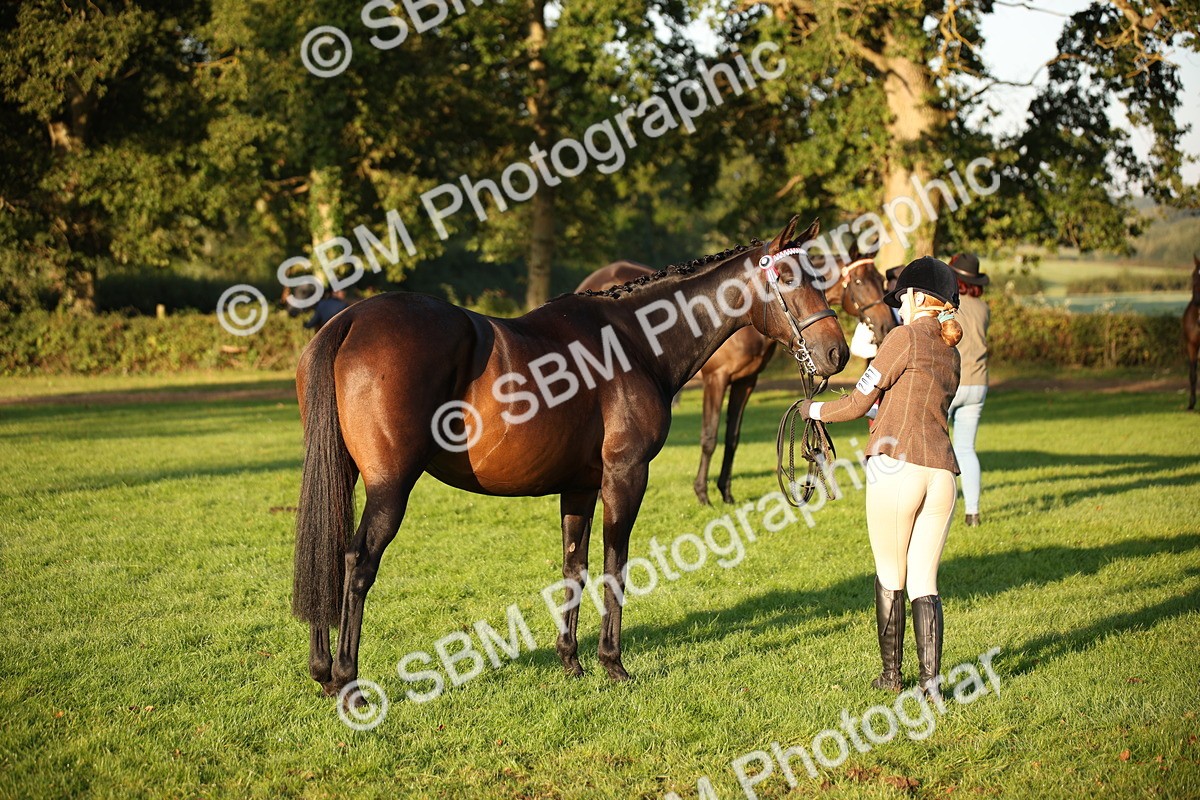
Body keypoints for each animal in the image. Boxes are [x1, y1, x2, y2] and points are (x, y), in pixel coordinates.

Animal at [292, 217, 849, 705]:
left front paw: (571, 660)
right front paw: (613, 663)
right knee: (357, 561)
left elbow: (574, 567)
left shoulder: (579, 486)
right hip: (391, 485)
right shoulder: (626, 476)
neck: (635, 341)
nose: (836, 354)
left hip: (342, 474)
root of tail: (349, 321)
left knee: (327, 548)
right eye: (786, 276)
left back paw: (321, 672)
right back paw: (347, 681)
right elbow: (614, 565)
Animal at [576, 251, 894, 506]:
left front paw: (725, 492)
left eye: (880, 279)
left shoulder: (746, 382)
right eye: (858, 283)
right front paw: (702, 494)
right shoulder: (716, 381)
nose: (886, 325)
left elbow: (732, 437)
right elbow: (709, 437)